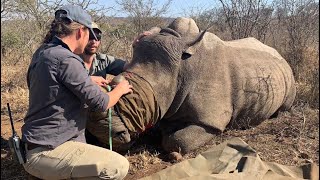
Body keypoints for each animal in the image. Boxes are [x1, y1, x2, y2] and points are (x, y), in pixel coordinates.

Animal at [86, 17, 296, 155]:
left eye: (132, 97)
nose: (100, 129)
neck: (181, 69)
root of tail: (279, 55)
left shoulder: (210, 120)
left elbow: (176, 141)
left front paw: (170, 144)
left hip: (286, 73)